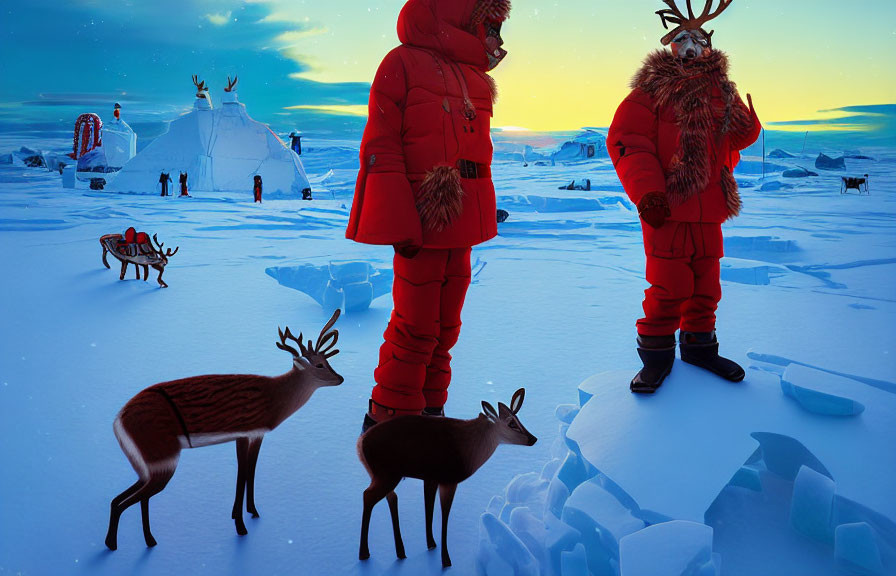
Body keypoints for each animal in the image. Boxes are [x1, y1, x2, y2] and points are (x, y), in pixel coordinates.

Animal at [104, 310, 344, 548]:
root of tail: (117, 422)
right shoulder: (245, 431)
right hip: (162, 458)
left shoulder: (256, 434)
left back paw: (146, 540)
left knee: (126, 498)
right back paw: (115, 543)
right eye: (319, 365)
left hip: (147, 464)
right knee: (130, 499)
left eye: (327, 360)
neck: (275, 398)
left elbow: (251, 470)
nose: (340, 378)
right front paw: (240, 525)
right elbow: (242, 472)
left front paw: (252, 512)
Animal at [356, 388, 536, 568]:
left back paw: (400, 551)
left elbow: (429, 507)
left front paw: (431, 543)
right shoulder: (449, 479)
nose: (533, 439)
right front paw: (446, 560)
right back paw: (364, 553)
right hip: (387, 474)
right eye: (511, 423)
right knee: (368, 495)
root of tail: (360, 443)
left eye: (519, 419)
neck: (472, 453)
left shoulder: (431, 478)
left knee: (391, 497)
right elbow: (444, 514)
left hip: (380, 474)